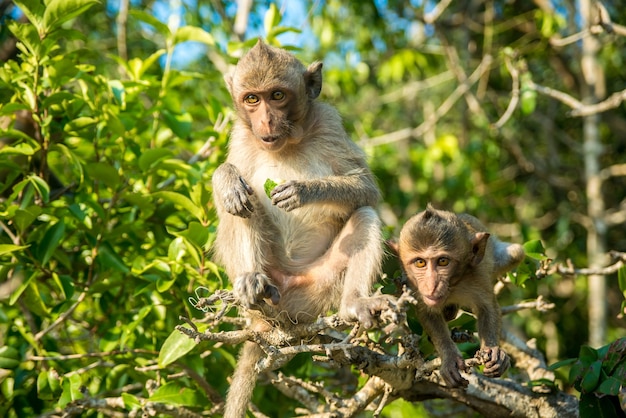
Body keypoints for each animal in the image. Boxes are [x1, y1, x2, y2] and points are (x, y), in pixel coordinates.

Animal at [212, 40, 390, 418]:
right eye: (252, 99)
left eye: (277, 95)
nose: (266, 120)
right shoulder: (241, 135)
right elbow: (233, 189)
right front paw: (226, 180)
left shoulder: (330, 123)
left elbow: (366, 189)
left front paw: (304, 190)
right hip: (271, 279)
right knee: (243, 204)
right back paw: (251, 281)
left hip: (313, 292)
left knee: (365, 215)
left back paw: (354, 305)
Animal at [392, 206, 524, 388]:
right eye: (420, 262)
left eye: (443, 261)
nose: (432, 285)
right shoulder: (413, 286)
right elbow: (427, 313)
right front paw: (449, 358)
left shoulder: (477, 275)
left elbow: (487, 307)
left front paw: (493, 351)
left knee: (517, 253)